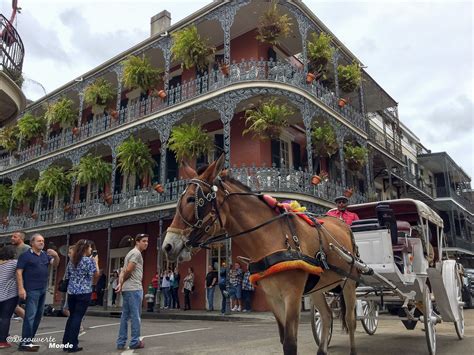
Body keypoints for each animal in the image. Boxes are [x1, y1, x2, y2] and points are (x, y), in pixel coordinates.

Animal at [161, 156, 358, 355]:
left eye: (192, 199)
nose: (167, 246)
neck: (274, 237)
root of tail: (342, 223)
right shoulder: (272, 296)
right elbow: (283, 339)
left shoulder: (293, 294)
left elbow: (290, 343)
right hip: (317, 287)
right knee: (326, 316)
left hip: (349, 281)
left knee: (351, 320)